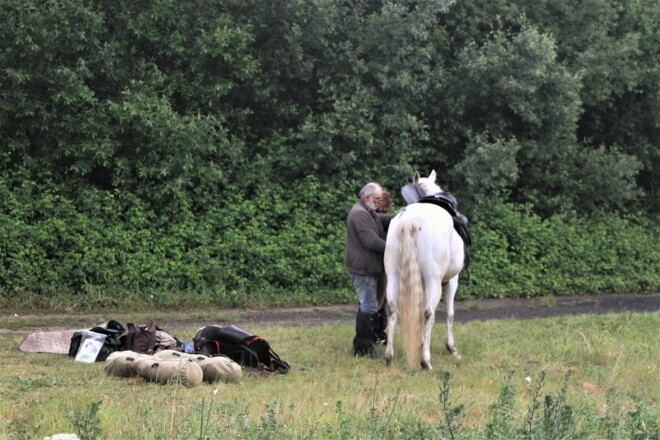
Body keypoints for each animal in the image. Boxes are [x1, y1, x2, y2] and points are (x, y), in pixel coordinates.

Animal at [382, 170, 464, 370]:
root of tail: (412, 218)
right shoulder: (452, 280)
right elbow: (449, 313)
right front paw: (451, 348)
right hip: (435, 281)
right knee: (429, 313)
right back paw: (425, 361)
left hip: (393, 276)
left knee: (393, 309)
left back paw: (389, 357)